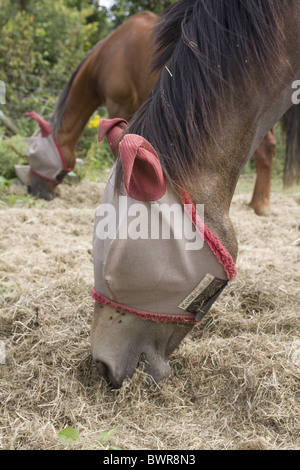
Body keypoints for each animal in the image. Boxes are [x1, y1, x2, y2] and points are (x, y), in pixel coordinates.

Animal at [24, 10, 298, 215]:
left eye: (34, 155)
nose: (32, 190)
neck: (110, 53)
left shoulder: (120, 105)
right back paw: (256, 204)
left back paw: (260, 206)